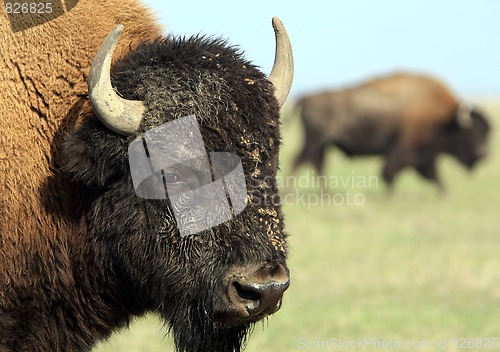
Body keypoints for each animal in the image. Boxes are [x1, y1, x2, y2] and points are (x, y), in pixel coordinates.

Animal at [292, 72, 490, 191]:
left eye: (486, 132)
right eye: (473, 132)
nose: (483, 154)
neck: (445, 119)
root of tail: (305, 98)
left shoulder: (425, 156)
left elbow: (432, 176)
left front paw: (445, 194)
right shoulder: (406, 149)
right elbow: (391, 171)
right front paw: (389, 197)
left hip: (321, 144)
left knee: (316, 164)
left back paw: (327, 196)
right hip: (314, 141)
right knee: (300, 161)